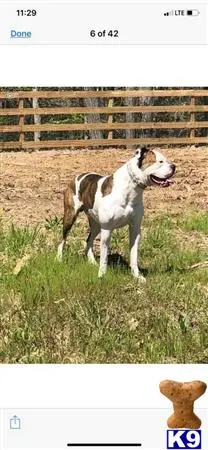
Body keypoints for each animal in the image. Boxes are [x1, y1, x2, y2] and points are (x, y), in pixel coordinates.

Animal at [57, 148, 176, 280]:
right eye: (160, 161)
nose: (174, 166)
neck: (131, 188)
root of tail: (77, 176)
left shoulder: (135, 228)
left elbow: (134, 254)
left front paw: (137, 276)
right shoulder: (107, 229)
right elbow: (104, 256)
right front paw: (102, 275)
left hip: (96, 224)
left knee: (89, 240)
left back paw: (92, 262)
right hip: (70, 215)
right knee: (63, 239)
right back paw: (59, 259)